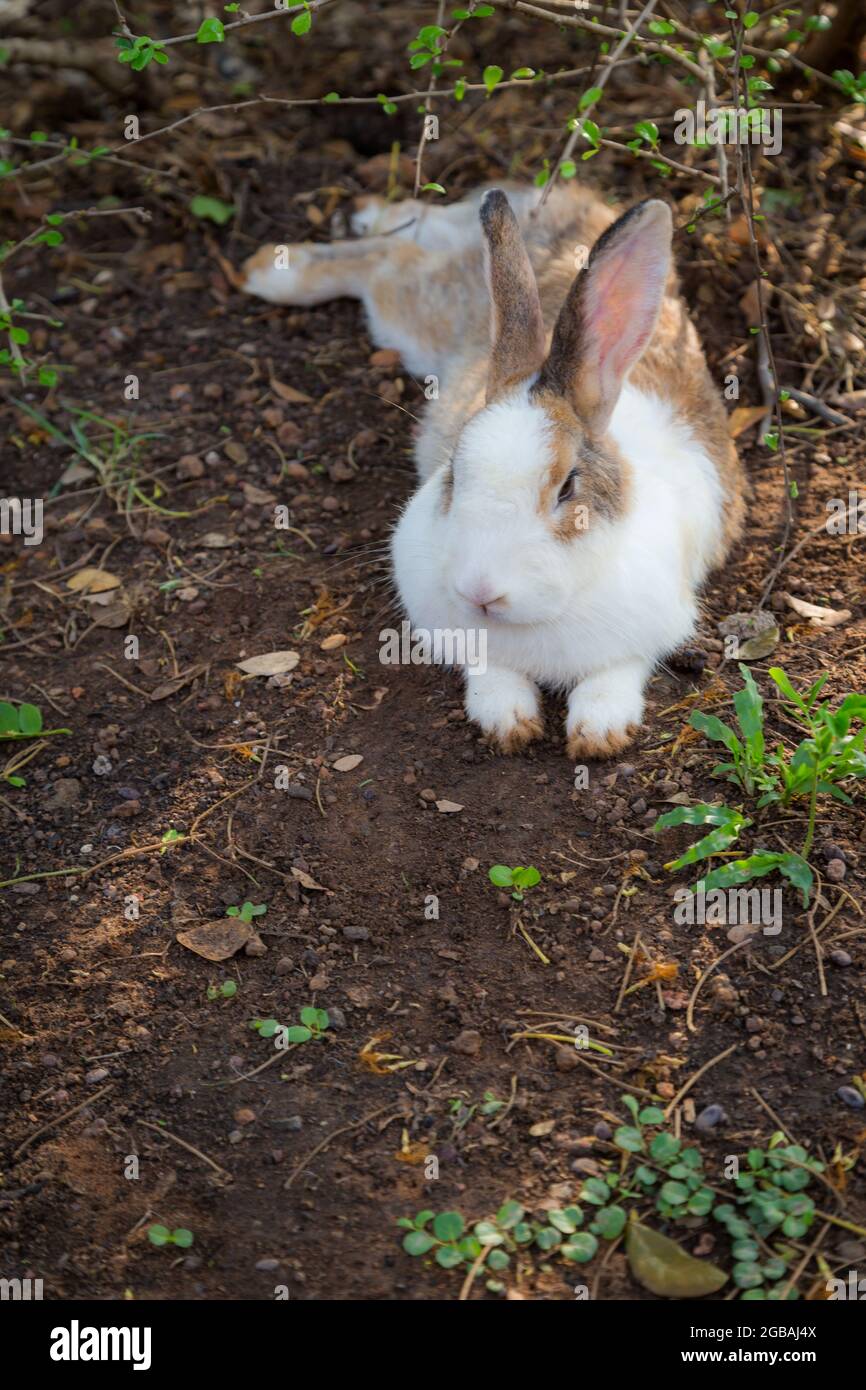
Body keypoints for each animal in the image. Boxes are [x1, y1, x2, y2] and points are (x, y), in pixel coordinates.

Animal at [241, 181, 744, 758]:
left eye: (567, 488)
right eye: (454, 473)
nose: (480, 592)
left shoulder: (649, 630)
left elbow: (614, 677)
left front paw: (599, 734)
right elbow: (490, 673)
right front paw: (508, 721)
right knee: (393, 259)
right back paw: (274, 268)